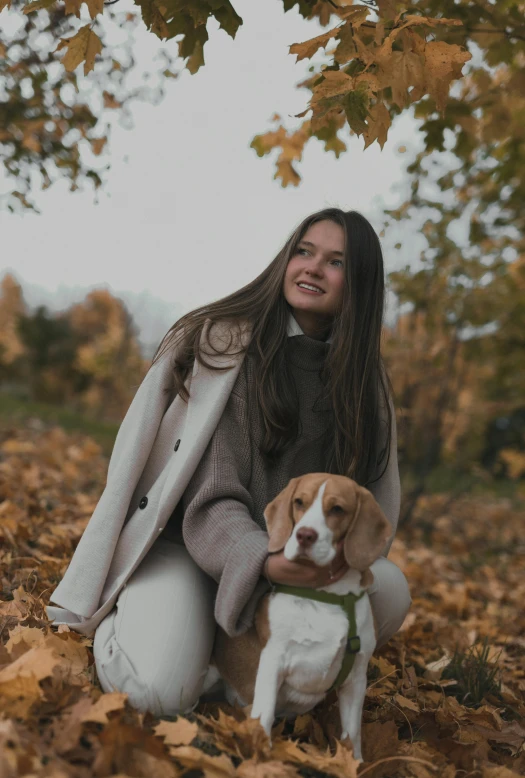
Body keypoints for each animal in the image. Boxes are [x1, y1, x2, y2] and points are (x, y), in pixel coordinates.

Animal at [211, 470, 390, 760]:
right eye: (299, 502)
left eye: (337, 509)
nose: (305, 535)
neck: (327, 596)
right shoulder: (273, 661)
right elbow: (264, 714)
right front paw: (262, 755)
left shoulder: (356, 679)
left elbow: (353, 734)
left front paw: (355, 763)